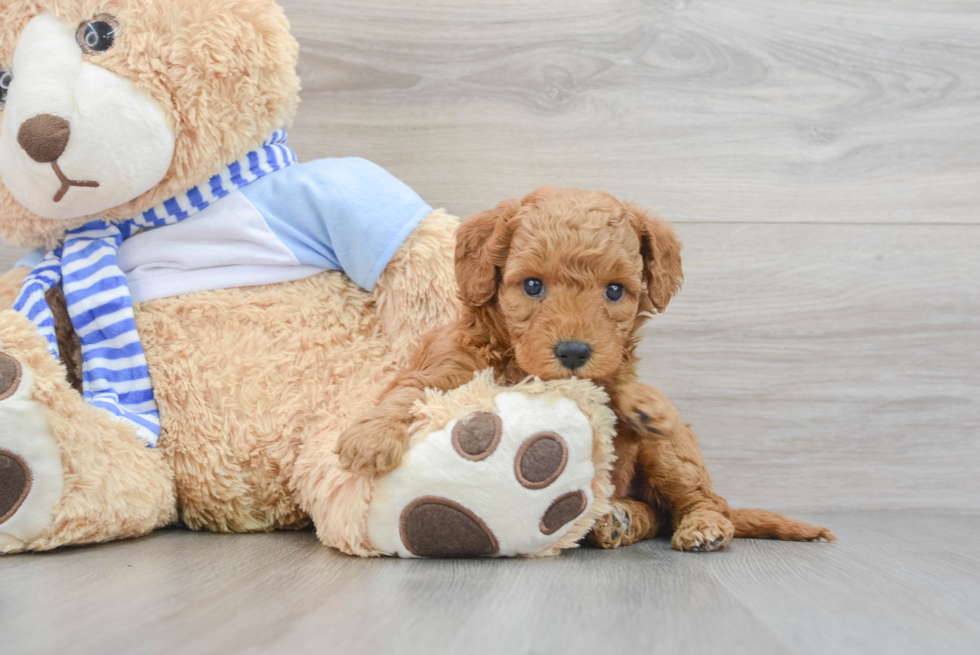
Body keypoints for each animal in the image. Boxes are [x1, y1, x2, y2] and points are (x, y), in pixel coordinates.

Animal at [338, 187, 836, 552]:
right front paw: (372, 435)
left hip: (671, 453)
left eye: (614, 291)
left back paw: (695, 526)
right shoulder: (446, 364)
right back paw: (619, 520)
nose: (574, 351)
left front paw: (644, 403)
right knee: (658, 514)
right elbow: (411, 391)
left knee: (704, 500)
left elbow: (618, 388)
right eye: (532, 285)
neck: (520, 363)